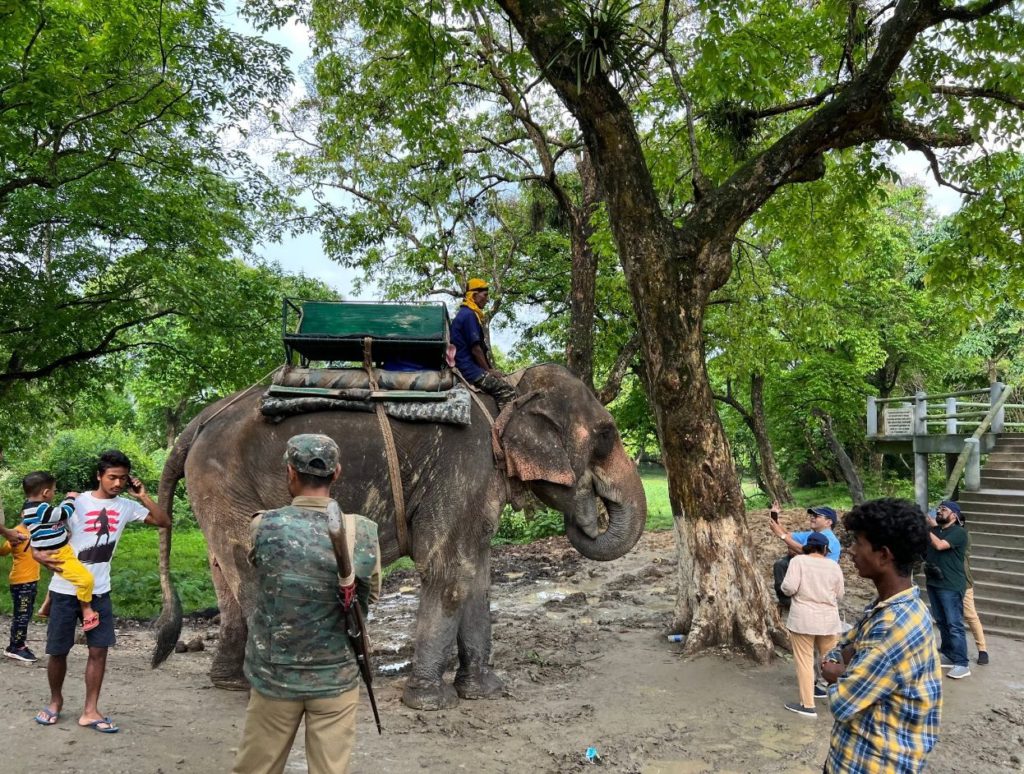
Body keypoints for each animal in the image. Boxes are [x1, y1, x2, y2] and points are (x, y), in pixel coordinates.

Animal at [149, 362, 647, 708]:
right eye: (606, 435)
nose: (589, 514)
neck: (505, 393)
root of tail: (200, 420)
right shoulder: (464, 465)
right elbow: (449, 570)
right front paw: (430, 703)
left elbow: (477, 576)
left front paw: (485, 692)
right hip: (223, 479)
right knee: (253, 574)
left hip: (216, 490)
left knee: (223, 572)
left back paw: (230, 683)